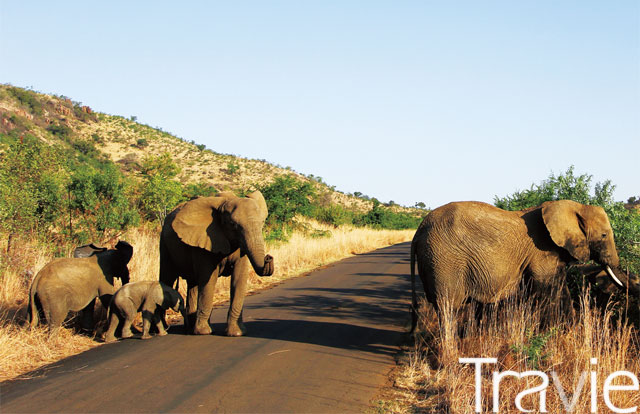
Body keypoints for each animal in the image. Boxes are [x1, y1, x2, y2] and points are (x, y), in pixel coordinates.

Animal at [159, 191, 274, 336]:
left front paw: (236, 333)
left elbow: (239, 279)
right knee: (167, 279)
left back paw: (190, 329)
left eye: (262, 222)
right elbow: (209, 281)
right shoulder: (204, 243)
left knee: (193, 284)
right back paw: (163, 329)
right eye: (232, 224)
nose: (268, 257)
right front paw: (203, 332)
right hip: (164, 243)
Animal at [410, 201, 632, 330]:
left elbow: (560, 289)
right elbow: (547, 291)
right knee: (448, 308)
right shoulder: (542, 250)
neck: (573, 206)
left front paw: (569, 332)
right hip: (444, 260)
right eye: (603, 235)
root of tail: (419, 229)